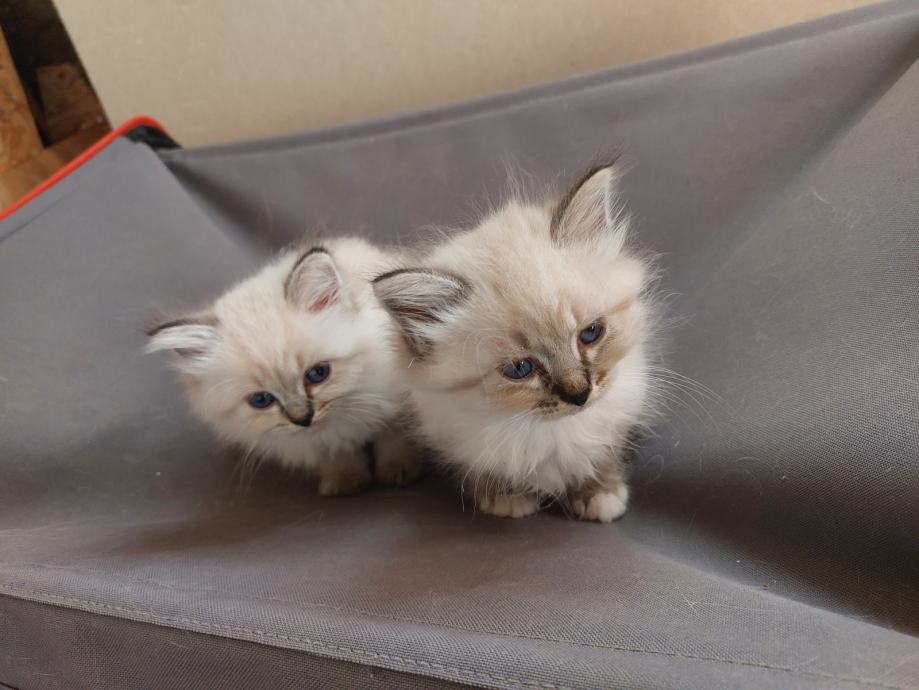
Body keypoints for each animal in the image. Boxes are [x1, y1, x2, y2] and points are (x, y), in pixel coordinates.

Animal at [147, 236, 422, 496]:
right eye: (261, 400)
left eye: (317, 374)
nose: (303, 419)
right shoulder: (319, 441)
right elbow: (337, 454)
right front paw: (345, 480)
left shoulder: (395, 407)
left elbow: (393, 441)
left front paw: (399, 470)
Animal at [373, 164, 655, 521]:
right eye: (520, 369)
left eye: (590, 333)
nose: (579, 395)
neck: (550, 431)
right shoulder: (458, 439)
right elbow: (487, 473)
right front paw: (507, 499)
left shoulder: (618, 414)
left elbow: (602, 456)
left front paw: (599, 495)